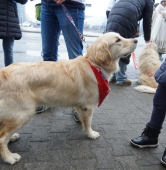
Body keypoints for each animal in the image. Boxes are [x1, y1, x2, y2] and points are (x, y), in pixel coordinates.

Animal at [0, 32, 137, 164]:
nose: (136, 40)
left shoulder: (80, 105)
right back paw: (9, 157)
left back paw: (12, 138)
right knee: (2, 138)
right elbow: (88, 123)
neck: (95, 65)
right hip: (23, 113)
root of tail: (3, 72)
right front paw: (91, 134)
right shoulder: (88, 106)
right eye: (118, 40)